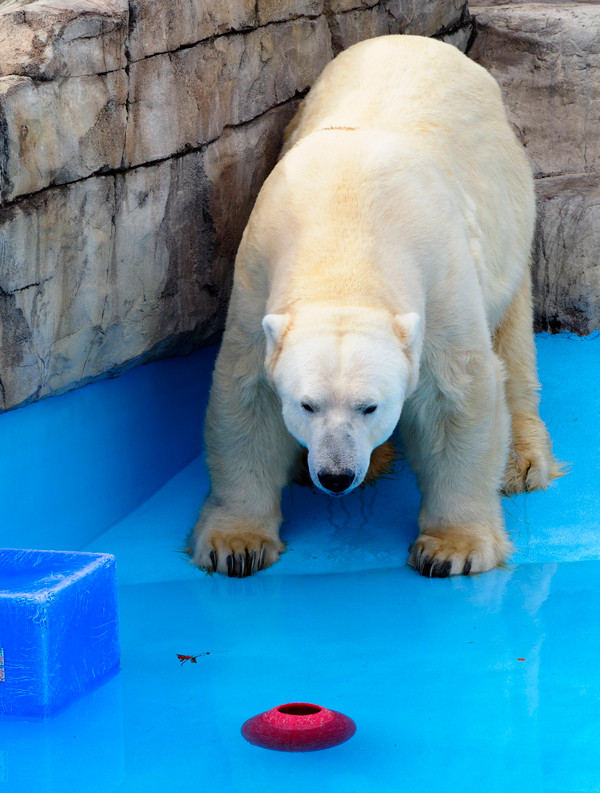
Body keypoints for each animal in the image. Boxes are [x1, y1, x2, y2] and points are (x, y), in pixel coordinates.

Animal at [190, 34, 560, 580]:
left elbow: (458, 394)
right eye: (306, 404)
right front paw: (235, 543)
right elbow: (246, 396)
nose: (335, 475)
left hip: (508, 209)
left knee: (511, 343)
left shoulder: (440, 279)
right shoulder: (255, 276)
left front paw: (452, 548)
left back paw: (520, 462)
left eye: (371, 406)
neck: (346, 233)